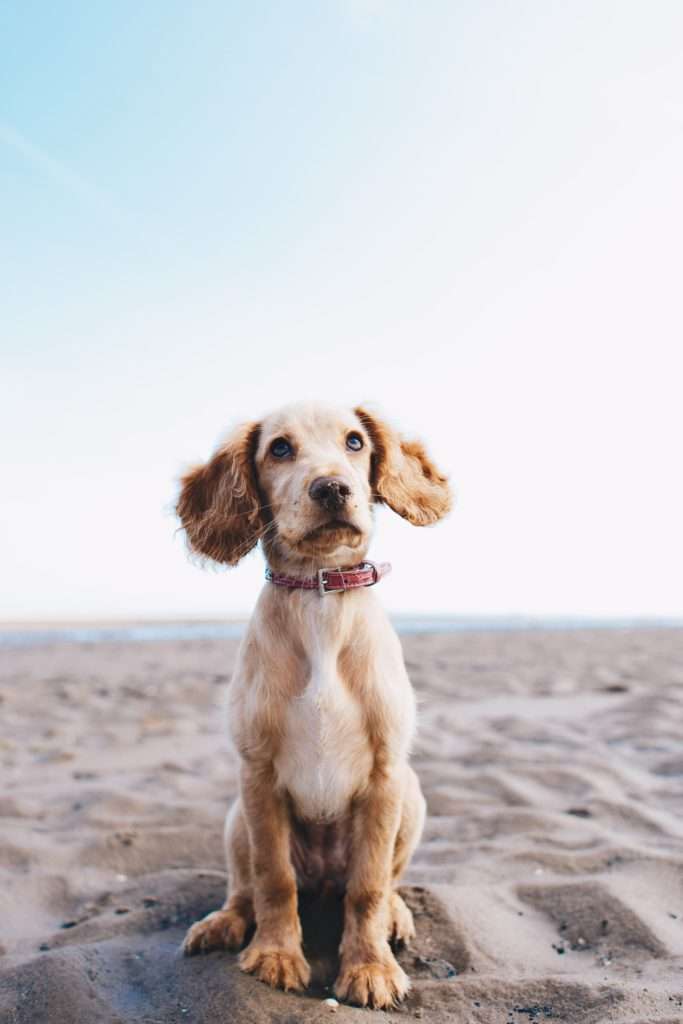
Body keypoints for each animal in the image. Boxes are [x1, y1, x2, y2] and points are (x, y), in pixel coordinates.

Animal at [179, 401, 450, 1007]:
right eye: (279, 448)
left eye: (355, 442)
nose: (332, 489)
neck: (319, 598)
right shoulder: (257, 774)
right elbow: (273, 878)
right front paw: (276, 954)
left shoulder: (386, 776)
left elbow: (368, 886)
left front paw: (369, 968)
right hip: (236, 817)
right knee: (246, 887)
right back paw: (223, 922)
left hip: (413, 798)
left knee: (383, 882)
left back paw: (395, 915)